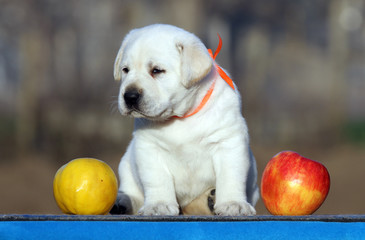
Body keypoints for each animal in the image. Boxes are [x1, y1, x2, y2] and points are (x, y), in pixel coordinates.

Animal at [111, 23, 258, 216]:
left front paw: (232, 203)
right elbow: (156, 179)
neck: (180, 117)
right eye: (125, 70)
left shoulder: (228, 141)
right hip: (127, 161)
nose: (129, 96)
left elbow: (230, 175)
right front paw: (158, 204)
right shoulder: (149, 147)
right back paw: (121, 202)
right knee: (132, 191)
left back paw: (210, 200)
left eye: (156, 70)